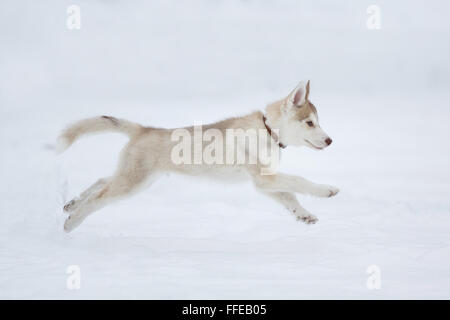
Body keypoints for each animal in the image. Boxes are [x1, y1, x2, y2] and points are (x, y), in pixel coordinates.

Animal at [57, 80, 338, 232]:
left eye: (317, 122)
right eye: (310, 123)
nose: (330, 140)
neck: (268, 130)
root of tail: (143, 129)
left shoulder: (264, 182)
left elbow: (290, 196)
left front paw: (304, 214)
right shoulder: (263, 179)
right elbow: (299, 181)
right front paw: (326, 190)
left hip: (139, 178)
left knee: (102, 181)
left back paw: (72, 203)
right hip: (133, 182)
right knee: (100, 197)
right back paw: (72, 220)